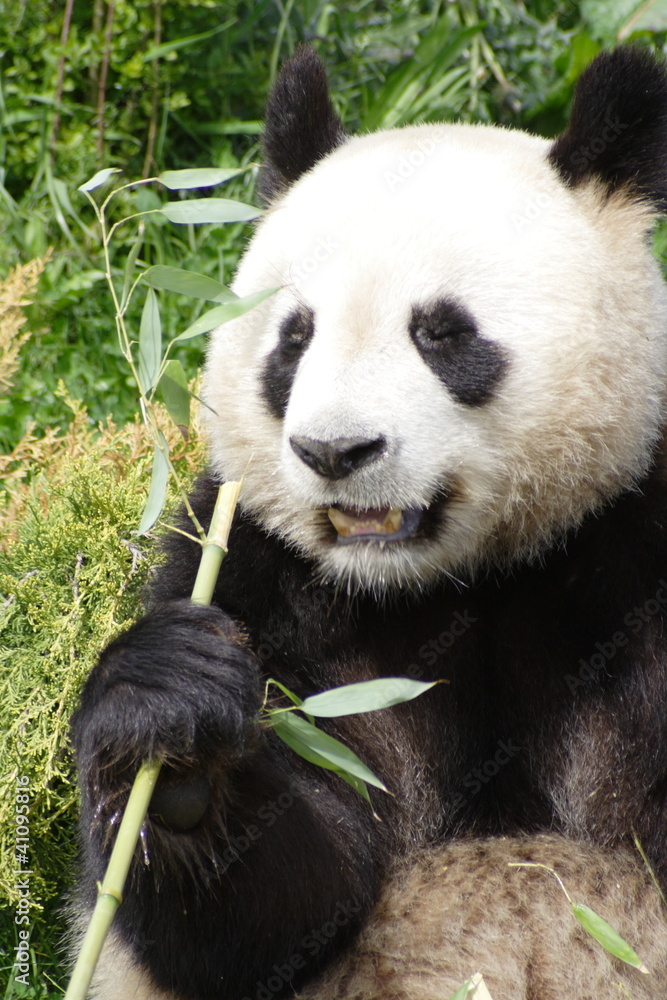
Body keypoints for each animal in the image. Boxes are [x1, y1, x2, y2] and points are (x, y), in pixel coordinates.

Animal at [72, 44, 667, 1000]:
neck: (448, 582)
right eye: (294, 338)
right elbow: (279, 909)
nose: (334, 450)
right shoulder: (262, 579)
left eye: (441, 333)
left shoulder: (634, 541)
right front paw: (174, 745)